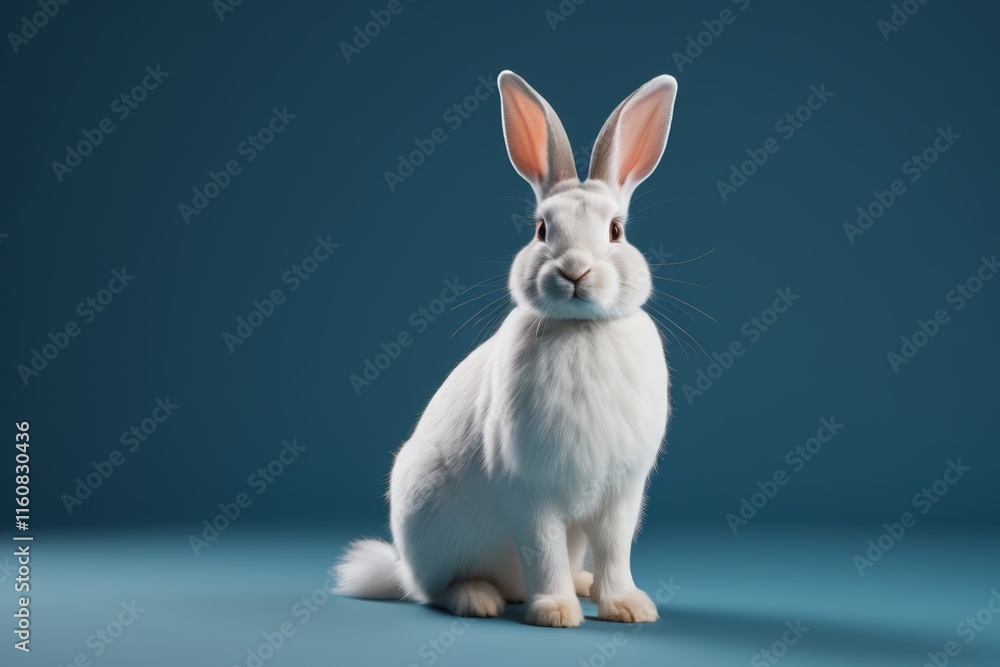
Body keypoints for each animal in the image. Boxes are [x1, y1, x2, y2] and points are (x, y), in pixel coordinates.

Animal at [334, 70, 678, 628]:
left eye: (616, 230)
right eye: (541, 229)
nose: (574, 271)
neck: (580, 330)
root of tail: (401, 570)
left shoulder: (622, 493)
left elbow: (616, 549)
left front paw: (627, 606)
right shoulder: (526, 490)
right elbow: (543, 548)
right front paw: (554, 612)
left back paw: (581, 585)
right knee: (438, 589)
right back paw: (480, 598)